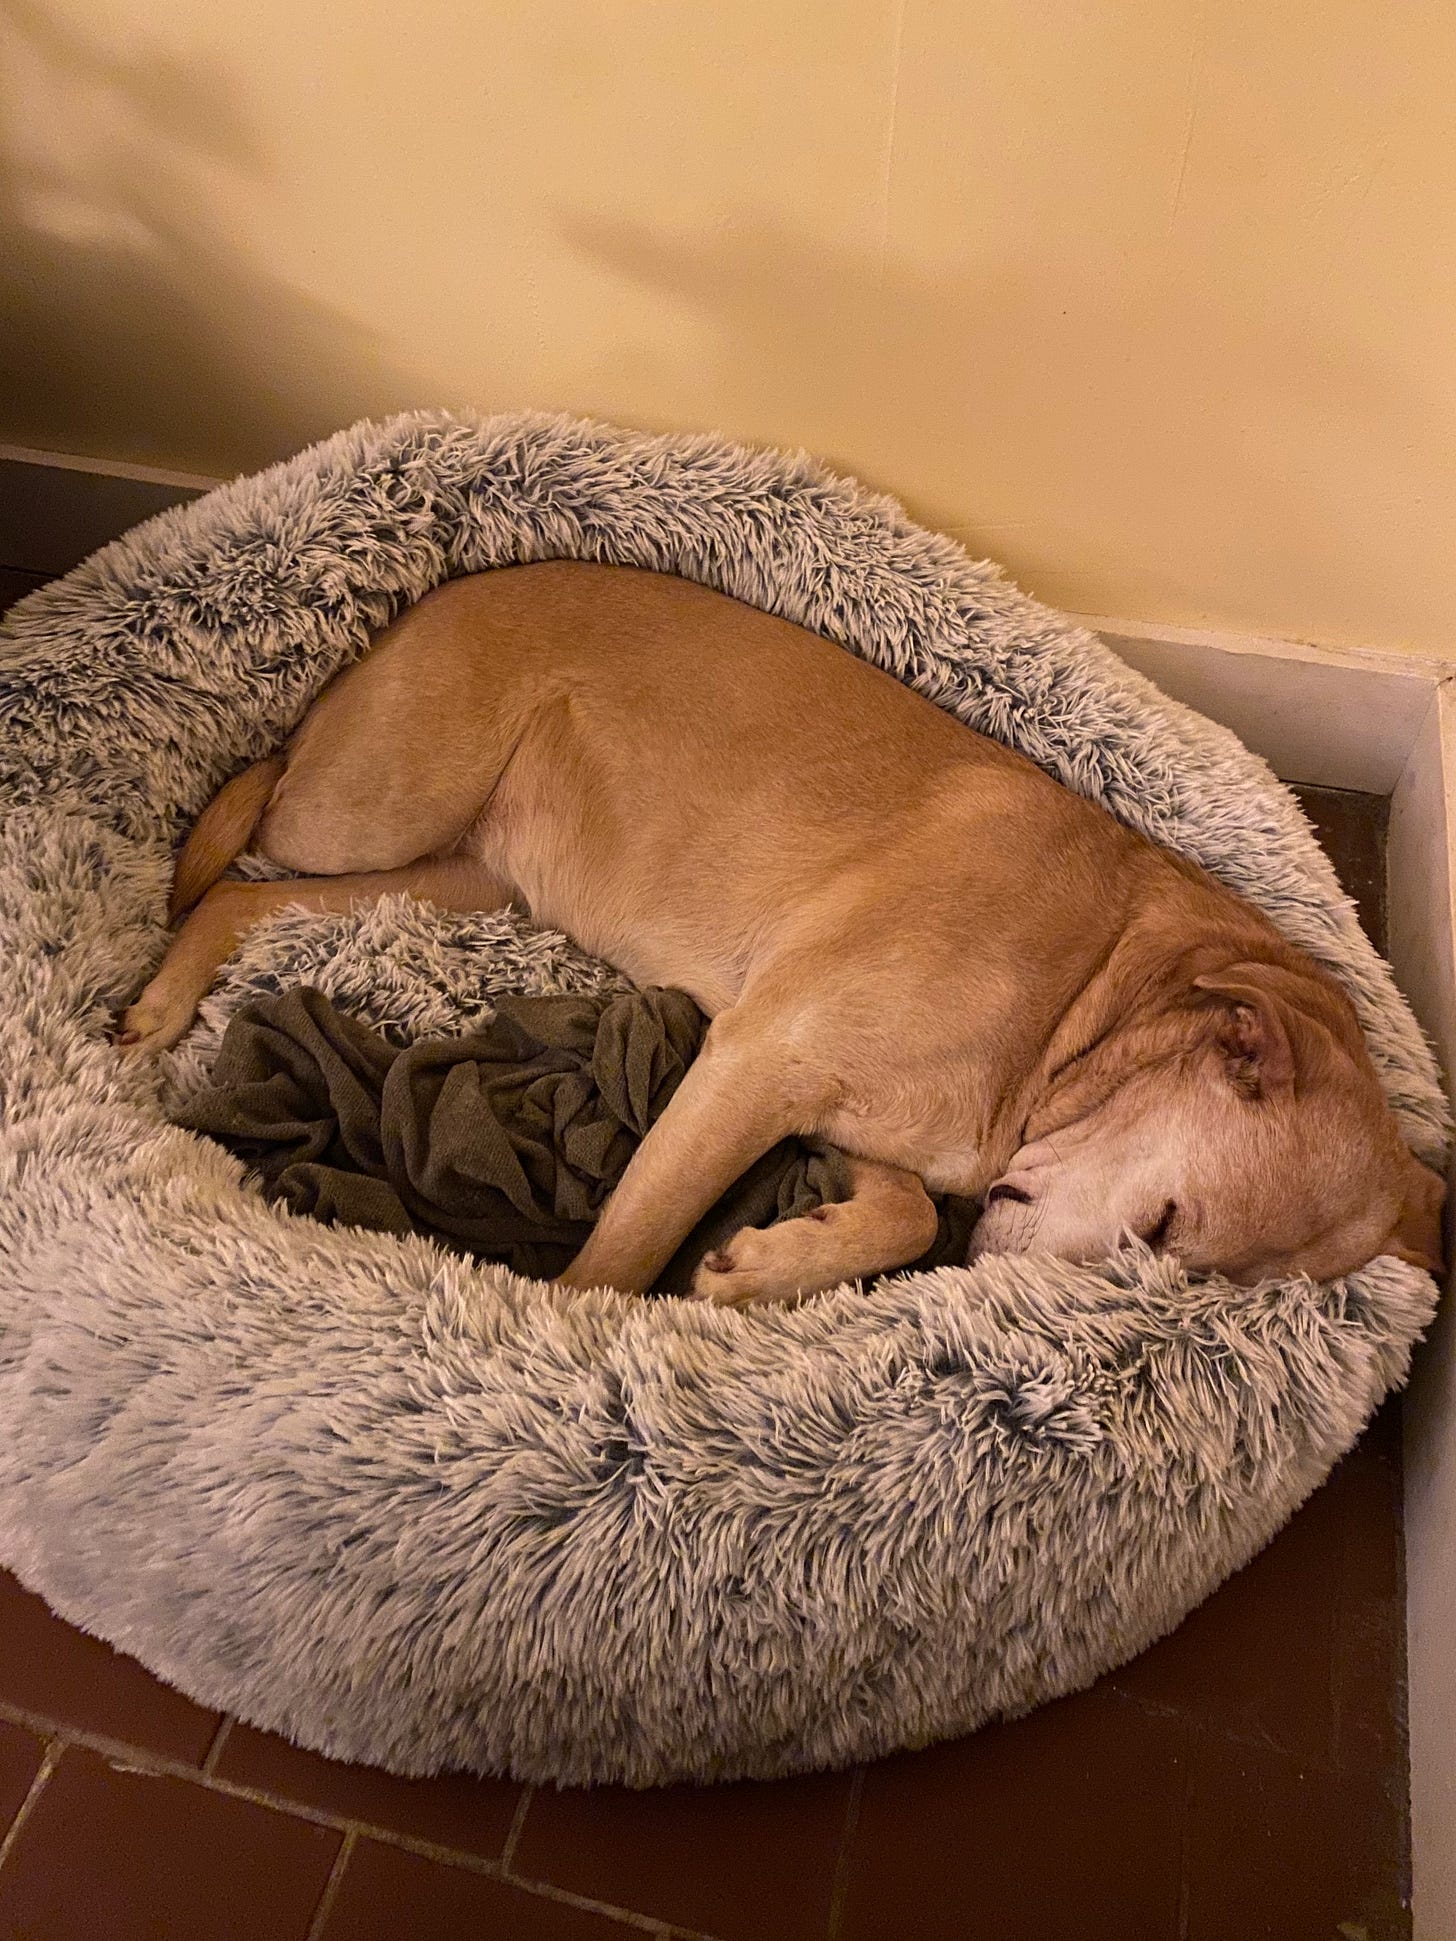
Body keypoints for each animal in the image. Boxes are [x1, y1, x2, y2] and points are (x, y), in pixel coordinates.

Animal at [116, 562, 1452, 1304]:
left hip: (460, 882)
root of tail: (426, 599)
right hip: (370, 804)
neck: (1090, 1000)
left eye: (1182, 1269)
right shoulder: (754, 1064)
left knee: (240, 897)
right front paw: (573, 1333)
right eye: (1168, 1229)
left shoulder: (847, 1121)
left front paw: (768, 1265)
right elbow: (623, 1250)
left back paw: (167, 998)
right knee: (250, 793)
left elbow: (898, 1213)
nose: (986, 1291)